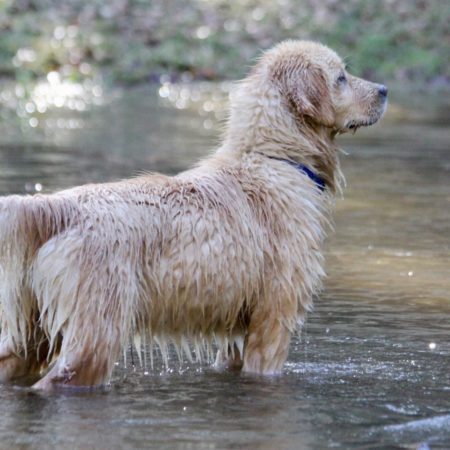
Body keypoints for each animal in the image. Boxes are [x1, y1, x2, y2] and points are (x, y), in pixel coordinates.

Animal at [0, 40, 386, 388]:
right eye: (341, 77)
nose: (384, 89)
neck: (273, 157)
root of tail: (57, 206)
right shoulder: (275, 316)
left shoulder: (237, 331)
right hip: (97, 328)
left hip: (32, 329)